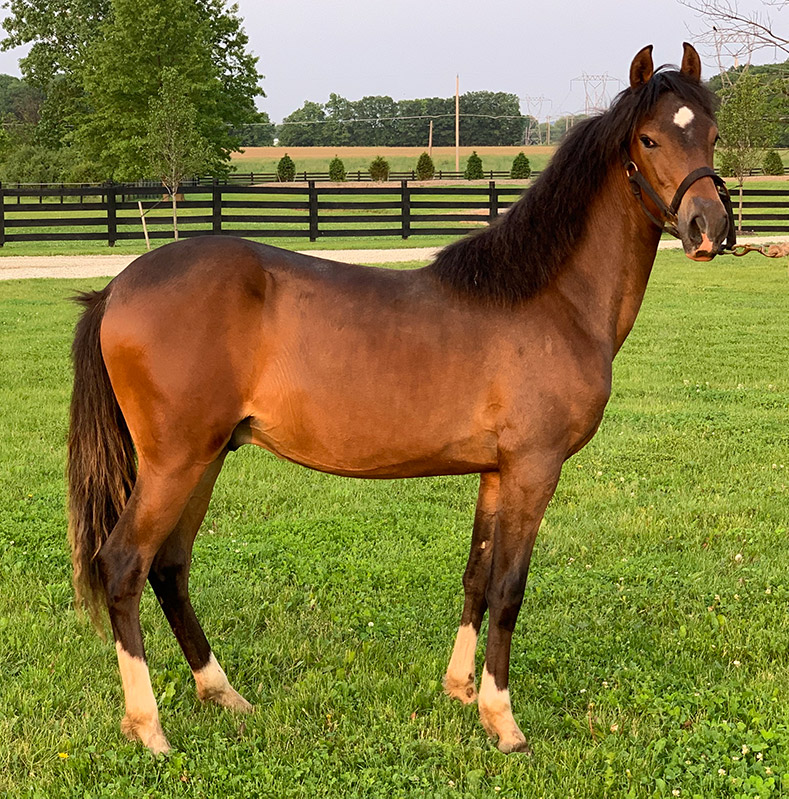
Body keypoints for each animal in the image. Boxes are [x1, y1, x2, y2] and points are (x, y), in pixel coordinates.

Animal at [67, 43, 732, 755]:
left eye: (713, 134)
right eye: (649, 138)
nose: (709, 228)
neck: (549, 299)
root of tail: (116, 287)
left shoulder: (496, 473)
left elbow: (476, 577)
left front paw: (461, 691)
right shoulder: (534, 469)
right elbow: (509, 588)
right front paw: (504, 721)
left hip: (207, 458)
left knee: (170, 568)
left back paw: (222, 693)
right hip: (175, 463)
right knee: (125, 566)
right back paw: (149, 729)